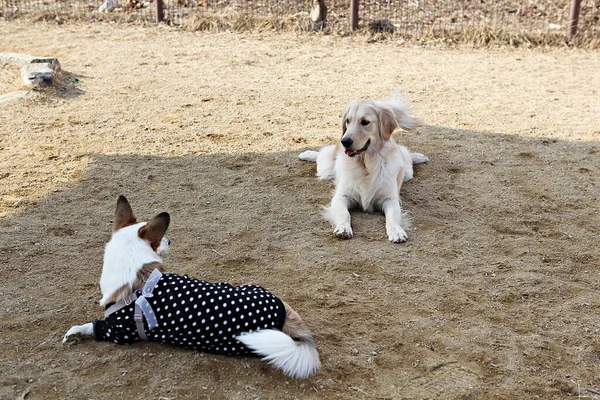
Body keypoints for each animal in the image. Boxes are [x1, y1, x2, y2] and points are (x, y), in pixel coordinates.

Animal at [63, 196, 322, 378]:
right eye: (159, 239)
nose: (169, 240)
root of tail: (284, 313)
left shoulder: (118, 331)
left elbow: (89, 326)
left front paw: (74, 332)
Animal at [300, 97, 426, 241]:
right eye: (348, 121)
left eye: (365, 122)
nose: (345, 141)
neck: (366, 165)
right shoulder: (341, 196)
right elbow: (344, 214)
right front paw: (343, 228)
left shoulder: (390, 199)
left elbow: (392, 218)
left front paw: (396, 231)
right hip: (325, 168)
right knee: (321, 155)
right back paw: (306, 154)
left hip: (407, 172)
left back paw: (419, 156)